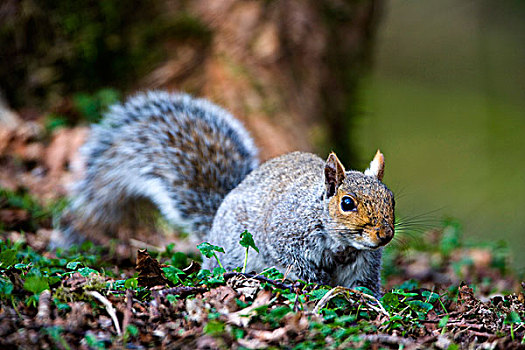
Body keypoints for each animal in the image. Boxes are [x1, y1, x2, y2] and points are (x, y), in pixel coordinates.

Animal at [52, 90, 392, 296]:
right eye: (347, 203)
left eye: (390, 198)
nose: (384, 235)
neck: (341, 242)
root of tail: (214, 222)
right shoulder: (284, 232)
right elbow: (294, 260)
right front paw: (316, 280)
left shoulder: (364, 262)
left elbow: (364, 284)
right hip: (235, 251)